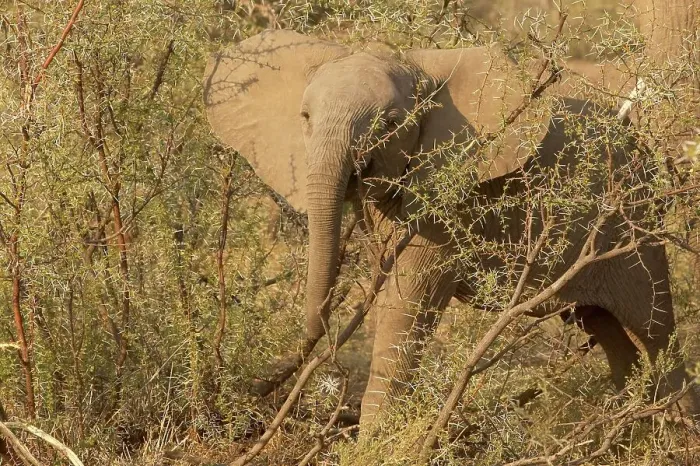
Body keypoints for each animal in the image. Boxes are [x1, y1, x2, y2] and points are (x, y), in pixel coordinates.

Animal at [203, 30, 700, 427]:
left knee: (655, 330)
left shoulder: (449, 201)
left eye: (391, 124)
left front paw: (373, 447)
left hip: (632, 227)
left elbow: (408, 301)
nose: (263, 389)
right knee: (604, 326)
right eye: (304, 119)